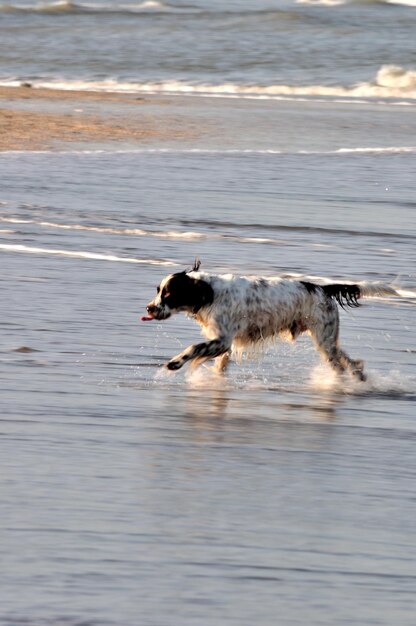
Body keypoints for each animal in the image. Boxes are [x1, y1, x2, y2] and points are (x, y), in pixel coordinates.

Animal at [145, 258, 398, 380]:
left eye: (168, 294)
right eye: (158, 290)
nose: (149, 308)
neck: (210, 294)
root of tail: (323, 288)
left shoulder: (222, 340)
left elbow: (193, 348)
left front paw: (175, 363)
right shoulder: (224, 342)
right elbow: (219, 364)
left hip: (324, 341)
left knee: (339, 364)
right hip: (328, 339)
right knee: (348, 360)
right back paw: (359, 377)